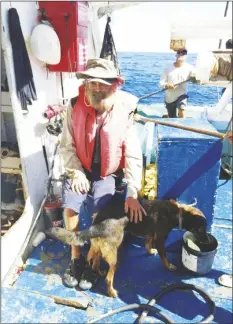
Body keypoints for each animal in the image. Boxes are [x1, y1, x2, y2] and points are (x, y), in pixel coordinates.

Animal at [45, 195, 208, 298]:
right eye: (201, 229)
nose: (206, 241)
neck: (177, 212)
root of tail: (96, 225)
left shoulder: (150, 234)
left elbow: (148, 243)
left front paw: (150, 251)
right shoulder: (160, 239)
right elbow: (164, 256)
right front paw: (169, 266)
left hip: (98, 248)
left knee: (94, 261)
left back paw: (98, 272)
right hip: (113, 256)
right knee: (108, 278)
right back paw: (111, 292)